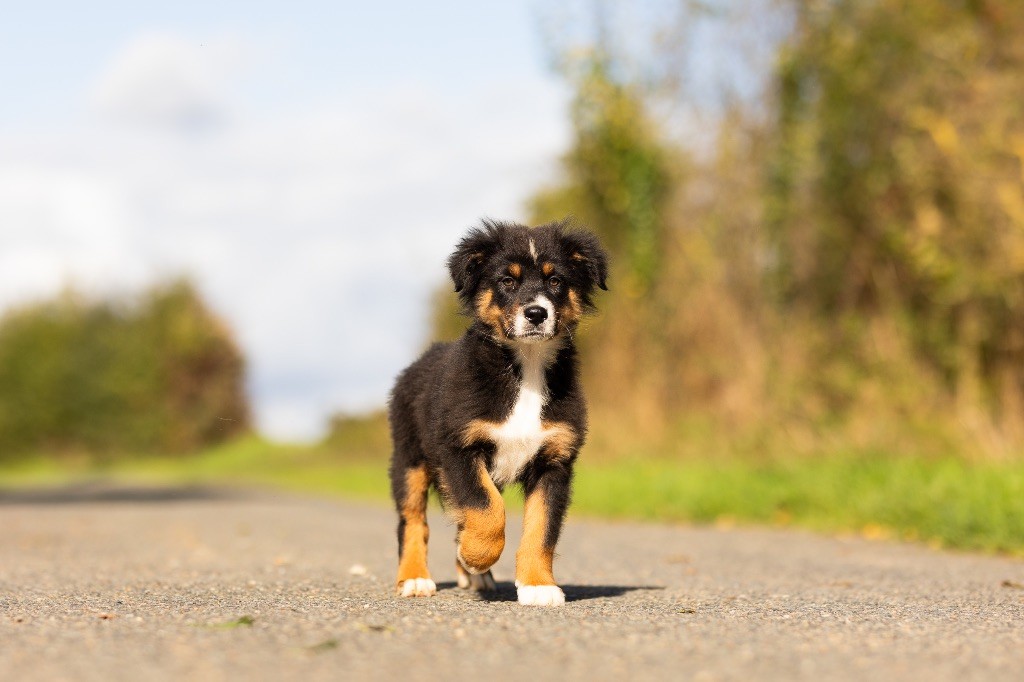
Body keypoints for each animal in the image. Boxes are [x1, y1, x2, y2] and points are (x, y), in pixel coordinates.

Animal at [387, 218, 602, 606]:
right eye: (507, 281)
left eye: (555, 281)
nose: (536, 313)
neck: (527, 367)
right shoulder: (458, 447)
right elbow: (485, 507)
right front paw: (476, 554)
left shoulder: (555, 462)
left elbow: (541, 529)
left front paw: (538, 585)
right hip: (409, 458)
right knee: (413, 521)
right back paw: (414, 578)